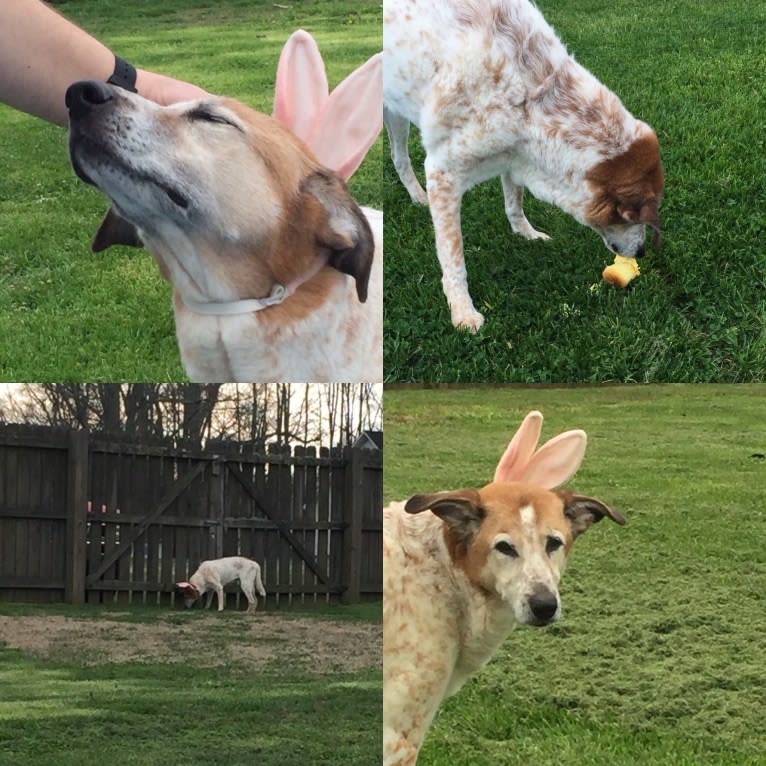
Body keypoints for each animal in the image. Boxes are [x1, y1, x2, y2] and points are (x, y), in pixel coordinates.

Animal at [384, 0, 664, 330]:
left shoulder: (514, 158)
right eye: (633, 216)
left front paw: (527, 234)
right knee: (399, 157)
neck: (531, 94)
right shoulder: (443, 175)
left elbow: (514, 204)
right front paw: (462, 311)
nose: (643, 252)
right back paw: (416, 196)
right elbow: (454, 258)